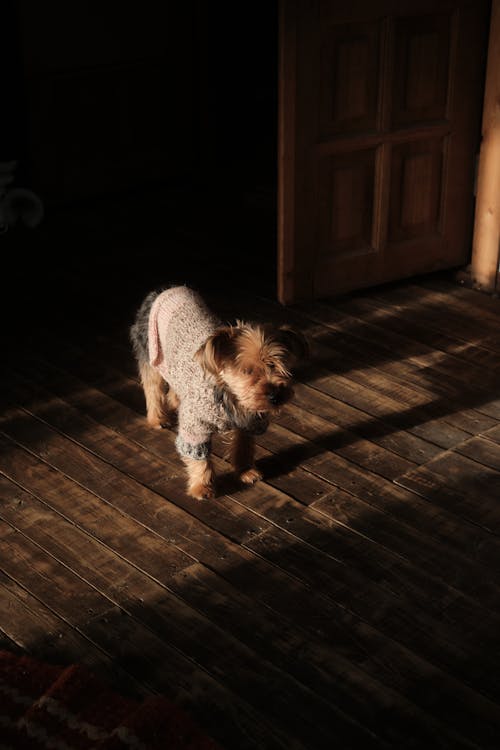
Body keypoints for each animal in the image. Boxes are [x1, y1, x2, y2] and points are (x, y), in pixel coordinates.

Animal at [131, 284, 306, 502]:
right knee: (152, 387)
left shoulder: (248, 422)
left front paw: (246, 471)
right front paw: (202, 487)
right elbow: (199, 457)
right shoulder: (195, 425)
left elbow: (244, 446)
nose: (275, 396)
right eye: (247, 371)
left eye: (277, 366)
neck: (230, 397)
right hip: (150, 354)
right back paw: (157, 418)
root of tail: (163, 290)